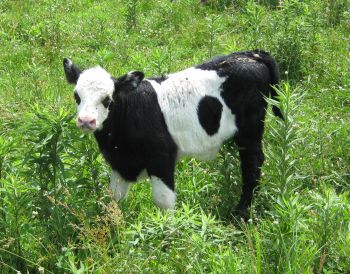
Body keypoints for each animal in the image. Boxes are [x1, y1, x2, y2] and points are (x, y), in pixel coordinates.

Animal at [63, 49, 282, 218]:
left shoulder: (161, 158)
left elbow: (163, 201)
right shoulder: (120, 163)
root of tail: (252, 54)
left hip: (250, 130)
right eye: (76, 96)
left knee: (253, 163)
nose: (86, 121)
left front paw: (168, 235)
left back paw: (241, 212)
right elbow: (114, 198)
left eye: (108, 99)